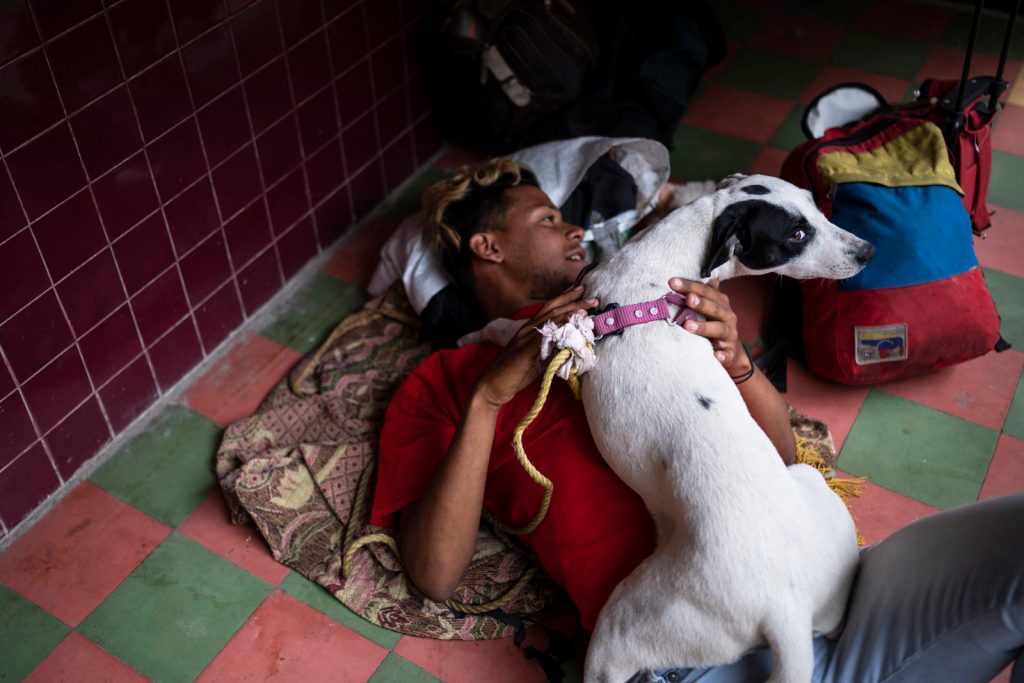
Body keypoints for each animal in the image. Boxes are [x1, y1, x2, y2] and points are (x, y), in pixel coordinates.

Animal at [581, 176, 876, 683]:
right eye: (798, 233)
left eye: (816, 207)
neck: (657, 274)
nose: (867, 251)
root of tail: (784, 608)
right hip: (811, 492)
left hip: (622, 629)